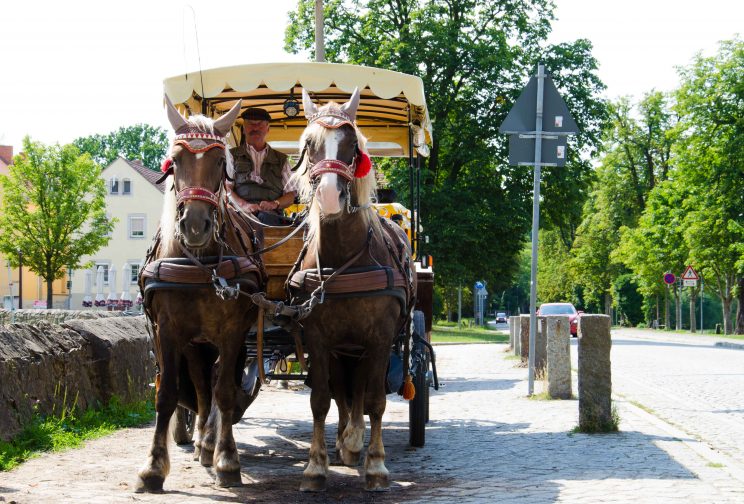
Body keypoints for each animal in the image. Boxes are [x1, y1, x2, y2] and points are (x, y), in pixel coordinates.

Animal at [137, 96, 264, 490]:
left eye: (219, 162)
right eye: (175, 161)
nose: (195, 225)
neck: (200, 263)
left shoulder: (233, 331)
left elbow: (224, 391)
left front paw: (227, 460)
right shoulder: (169, 329)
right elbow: (167, 393)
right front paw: (153, 467)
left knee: (216, 382)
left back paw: (210, 443)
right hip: (195, 343)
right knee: (199, 384)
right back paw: (200, 442)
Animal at [290, 88, 416, 490]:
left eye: (351, 145)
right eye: (309, 145)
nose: (330, 196)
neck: (343, 259)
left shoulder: (378, 339)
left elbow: (374, 400)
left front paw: (375, 465)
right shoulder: (317, 337)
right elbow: (321, 399)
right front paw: (315, 466)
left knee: (359, 391)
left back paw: (355, 441)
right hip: (343, 348)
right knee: (343, 392)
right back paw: (345, 441)